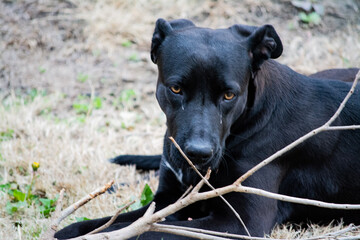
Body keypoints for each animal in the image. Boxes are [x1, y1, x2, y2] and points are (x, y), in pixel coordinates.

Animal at [56, 18, 360, 238]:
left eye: (229, 95)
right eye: (176, 89)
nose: (197, 154)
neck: (250, 121)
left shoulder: (241, 223)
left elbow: (146, 232)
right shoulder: (168, 199)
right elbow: (103, 222)